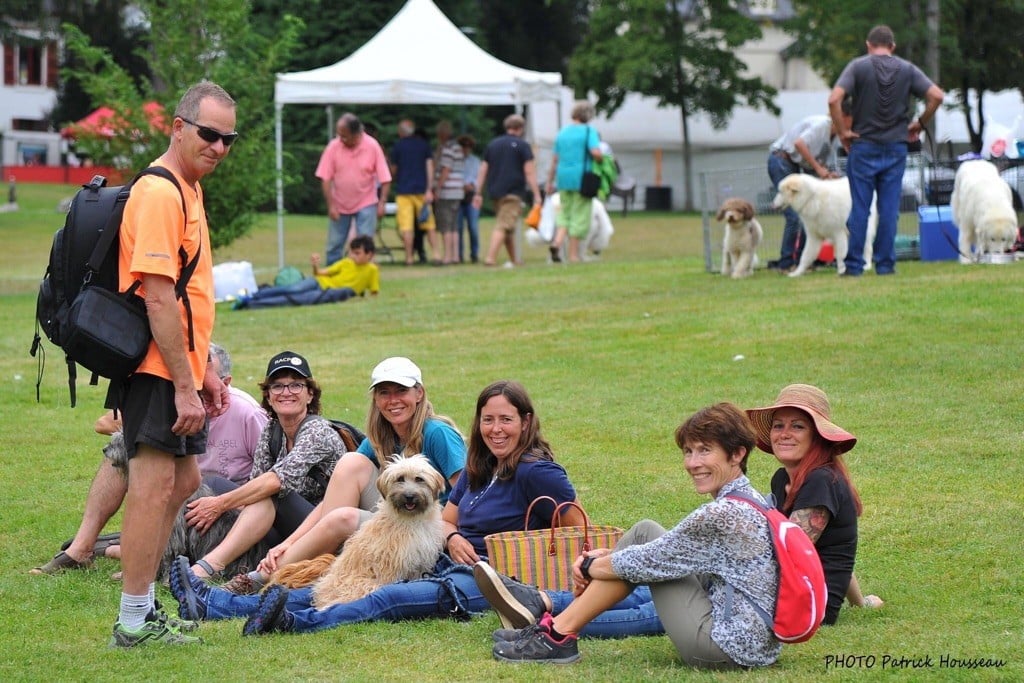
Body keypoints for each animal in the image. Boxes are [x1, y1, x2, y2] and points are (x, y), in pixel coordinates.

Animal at [264, 454, 444, 610]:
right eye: (400, 478)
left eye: (419, 479)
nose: (409, 496)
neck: (412, 521)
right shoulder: (390, 566)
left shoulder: (420, 562)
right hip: (361, 585)